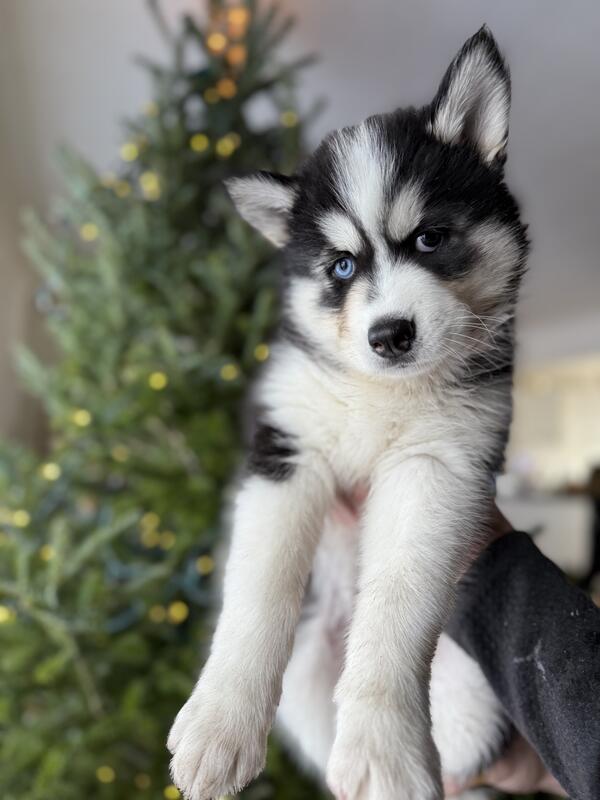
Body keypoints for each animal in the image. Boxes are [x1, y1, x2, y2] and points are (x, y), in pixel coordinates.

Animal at [168, 25, 528, 800]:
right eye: (341, 266)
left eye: (429, 238)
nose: (389, 334)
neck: (379, 394)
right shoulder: (286, 449)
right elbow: (258, 592)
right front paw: (219, 725)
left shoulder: (436, 465)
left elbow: (396, 602)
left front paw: (382, 749)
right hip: (306, 680)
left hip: (474, 699)